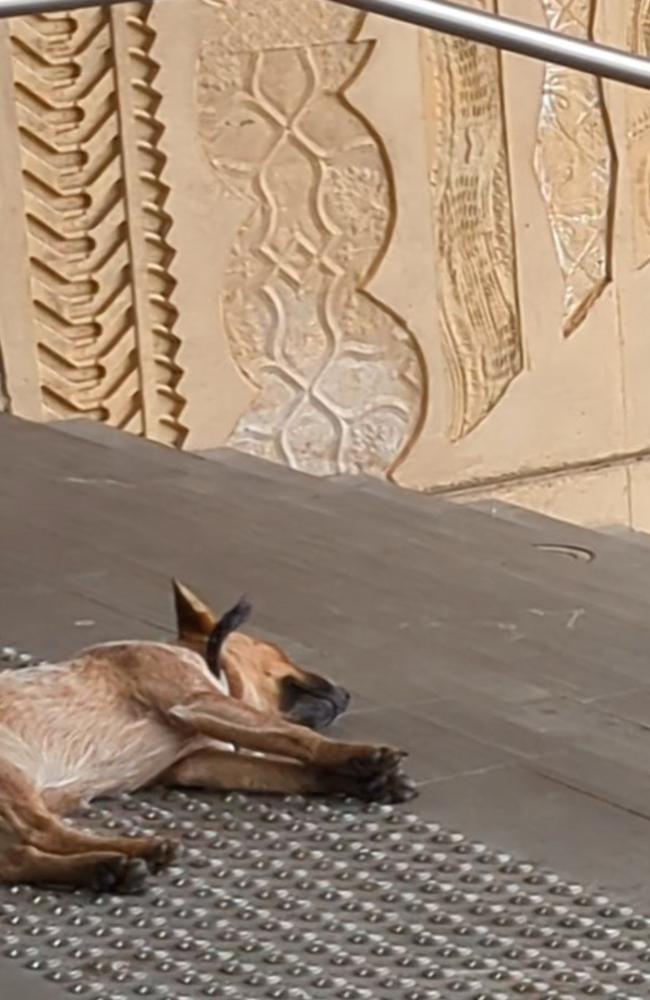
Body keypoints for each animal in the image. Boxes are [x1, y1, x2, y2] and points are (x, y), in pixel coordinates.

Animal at [0, 584, 416, 896]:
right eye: (281, 653)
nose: (346, 693)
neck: (208, 665)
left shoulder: (201, 763)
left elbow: (291, 769)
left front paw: (368, 780)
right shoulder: (197, 702)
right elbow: (297, 738)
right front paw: (364, 755)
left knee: (17, 858)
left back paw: (105, 869)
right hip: (14, 777)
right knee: (43, 831)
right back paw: (132, 851)